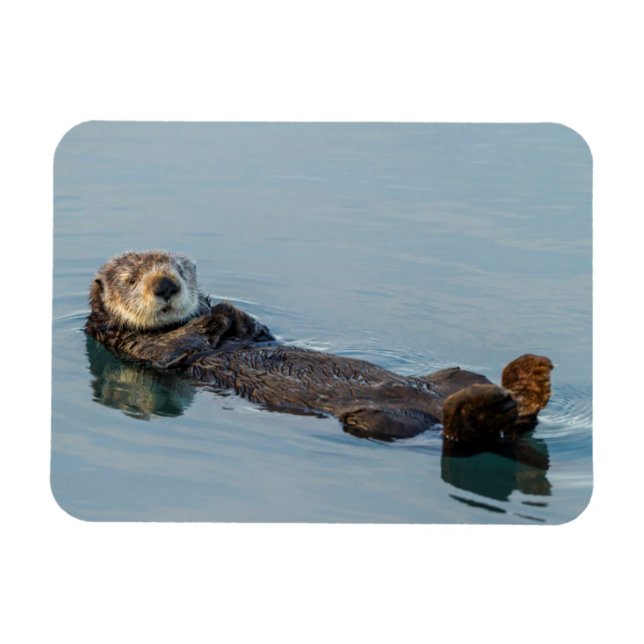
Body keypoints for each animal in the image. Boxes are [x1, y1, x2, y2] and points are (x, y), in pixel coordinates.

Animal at [85, 250, 553, 444]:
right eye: (131, 279)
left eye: (180, 270)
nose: (166, 285)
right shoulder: (141, 349)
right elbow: (179, 345)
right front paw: (213, 316)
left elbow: (256, 331)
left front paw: (225, 309)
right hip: (377, 422)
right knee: (465, 432)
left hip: (453, 377)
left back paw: (529, 381)